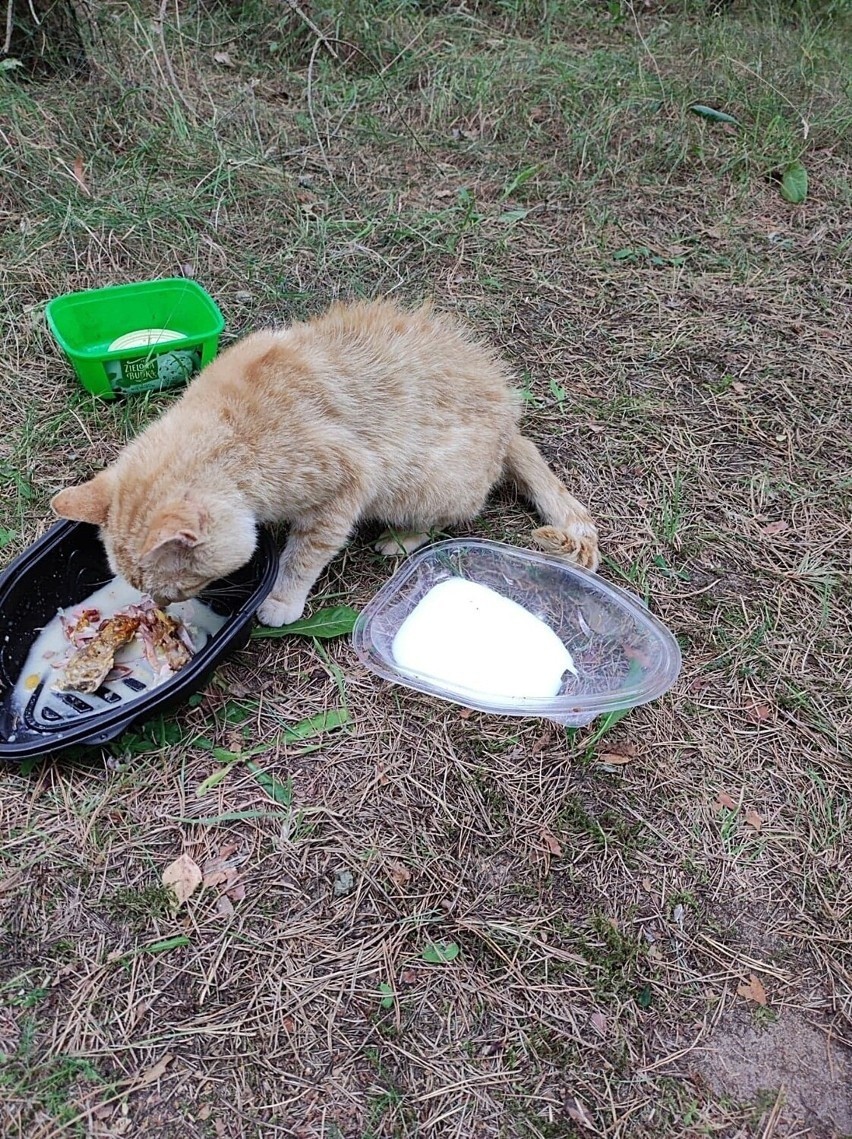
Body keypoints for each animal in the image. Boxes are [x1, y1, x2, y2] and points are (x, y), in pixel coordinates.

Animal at [51, 298, 596, 628]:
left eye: (182, 585)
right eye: (144, 591)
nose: (164, 607)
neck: (231, 432)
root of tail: (509, 418)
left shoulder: (348, 484)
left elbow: (304, 556)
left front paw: (282, 600)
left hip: (424, 484)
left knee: (452, 514)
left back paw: (402, 539)